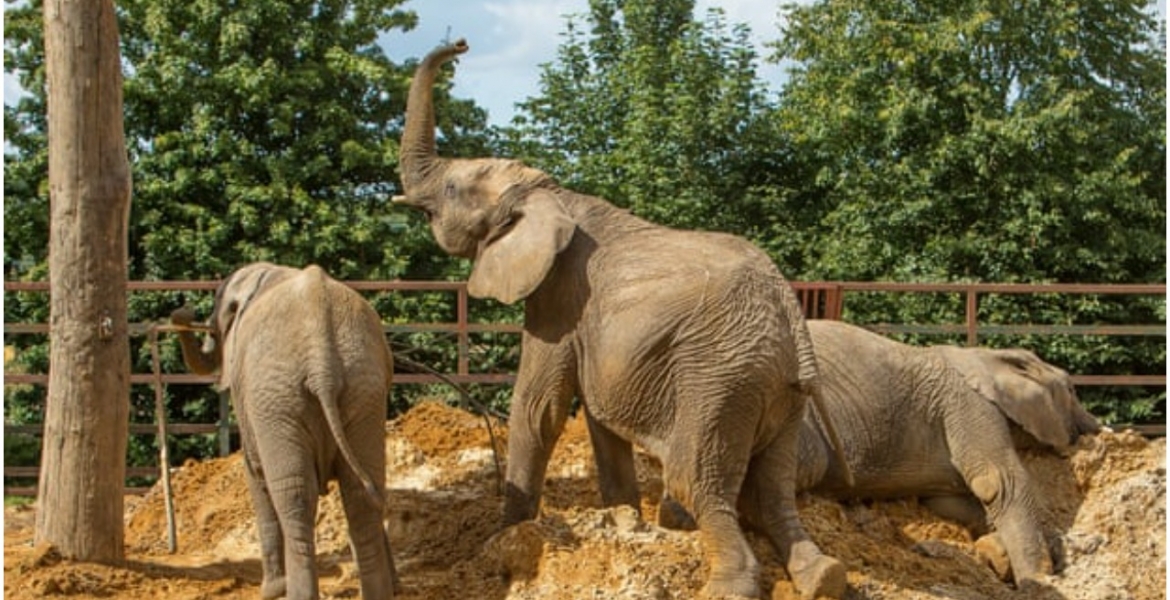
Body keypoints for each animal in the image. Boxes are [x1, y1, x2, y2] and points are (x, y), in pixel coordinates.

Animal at [171, 262, 396, 600]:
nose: (182, 312)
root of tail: (322, 360)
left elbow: (255, 474)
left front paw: (271, 590)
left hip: (276, 398)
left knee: (295, 495)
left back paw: (292, 592)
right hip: (364, 386)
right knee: (362, 494)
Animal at [393, 39, 848, 600]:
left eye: (452, 189)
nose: (460, 44)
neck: (551, 193)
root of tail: (790, 313)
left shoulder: (558, 296)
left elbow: (539, 407)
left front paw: (499, 543)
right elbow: (596, 414)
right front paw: (624, 522)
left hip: (721, 378)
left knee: (693, 479)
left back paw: (728, 586)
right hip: (780, 392)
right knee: (771, 489)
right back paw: (822, 576)